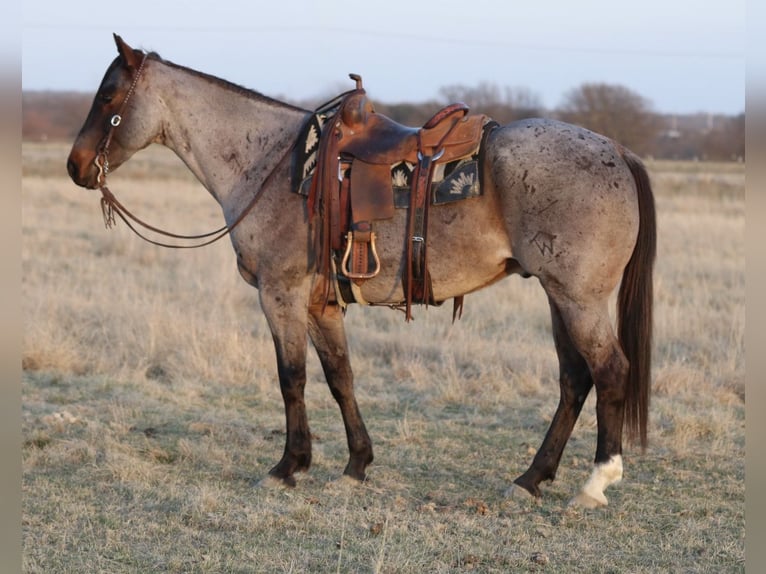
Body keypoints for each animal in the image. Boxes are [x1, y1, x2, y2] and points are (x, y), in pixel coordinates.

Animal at [67, 34, 655, 509]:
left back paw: (594, 483)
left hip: (578, 299)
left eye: (109, 96)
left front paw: (288, 468)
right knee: (574, 379)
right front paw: (355, 467)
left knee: (609, 372)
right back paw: (531, 478)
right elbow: (340, 377)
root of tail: (617, 149)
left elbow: (292, 378)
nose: (75, 165)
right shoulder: (322, 304)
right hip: (559, 298)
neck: (270, 162)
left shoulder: (280, 294)